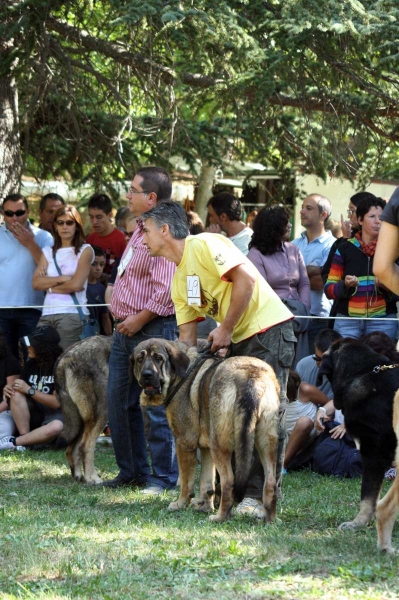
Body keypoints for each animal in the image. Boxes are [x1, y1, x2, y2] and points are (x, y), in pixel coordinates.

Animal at [55, 336, 114, 486]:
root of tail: (64, 358)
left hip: (82, 420)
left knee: (71, 450)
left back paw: (79, 476)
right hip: (102, 412)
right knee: (85, 447)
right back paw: (92, 478)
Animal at [132, 340, 282, 524]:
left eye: (159, 358)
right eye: (140, 359)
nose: (147, 375)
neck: (179, 374)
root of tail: (250, 376)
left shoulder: (184, 442)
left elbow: (186, 481)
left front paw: (180, 504)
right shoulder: (206, 448)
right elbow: (206, 481)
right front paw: (203, 505)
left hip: (220, 444)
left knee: (228, 481)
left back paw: (219, 517)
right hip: (266, 442)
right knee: (270, 482)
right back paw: (271, 519)